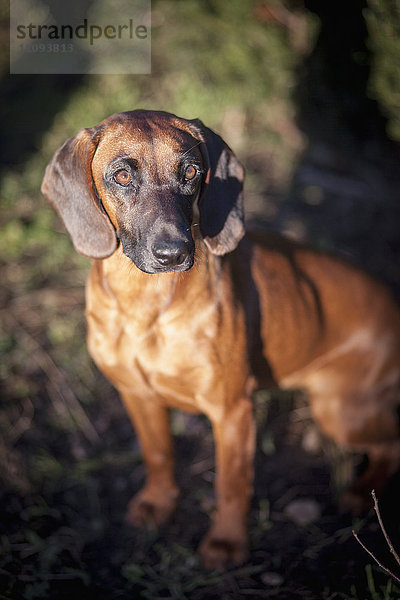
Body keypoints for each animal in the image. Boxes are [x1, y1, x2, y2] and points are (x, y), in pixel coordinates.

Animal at [40, 110, 400, 568]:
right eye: (121, 175)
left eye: (191, 172)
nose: (174, 253)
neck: (145, 308)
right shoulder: (137, 395)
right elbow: (158, 454)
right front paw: (158, 503)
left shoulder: (231, 412)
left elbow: (231, 483)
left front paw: (227, 543)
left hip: (340, 411)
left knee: (392, 444)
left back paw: (357, 494)